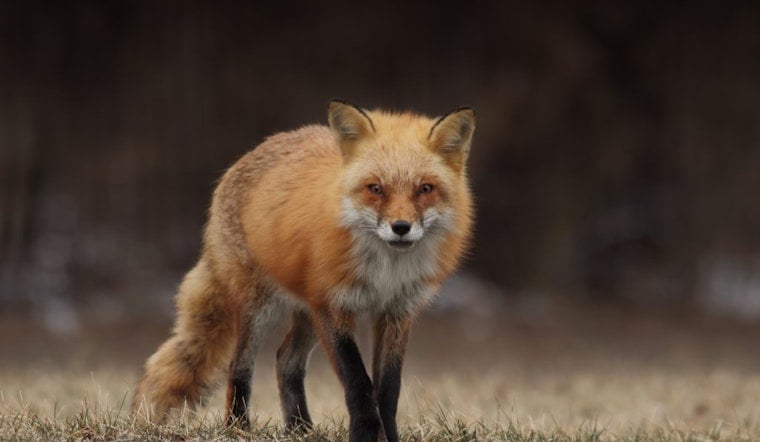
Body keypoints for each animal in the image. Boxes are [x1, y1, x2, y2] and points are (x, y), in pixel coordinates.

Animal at [133, 100, 475, 442]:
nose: (401, 227)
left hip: (307, 314)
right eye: (375, 188)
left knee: (285, 360)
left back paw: (299, 428)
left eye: (425, 188)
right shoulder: (333, 307)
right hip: (262, 308)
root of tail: (252, 153)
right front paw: (364, 434)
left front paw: (388, 436)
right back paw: (238, 427)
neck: (385, 272)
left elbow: (388, 390)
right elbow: (358, 382)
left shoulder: (397, 313)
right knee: (238, 366)